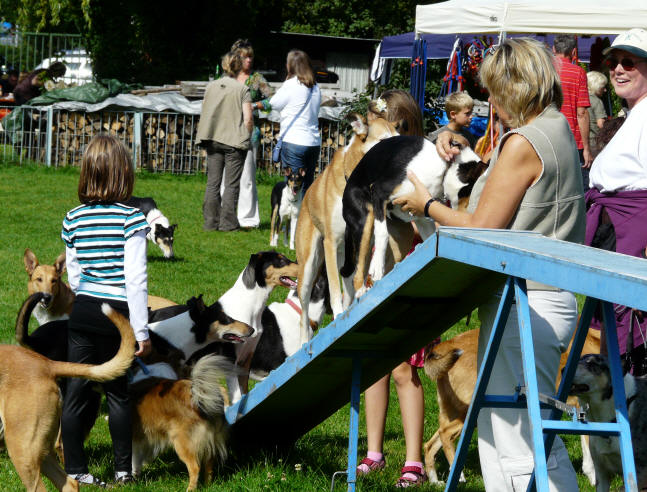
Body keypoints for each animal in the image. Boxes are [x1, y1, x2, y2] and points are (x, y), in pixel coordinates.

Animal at [131, 354, 231, 491]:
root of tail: (200, 397)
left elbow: (133, 458)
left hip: (182, 443)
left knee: (195, 467)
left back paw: (190, 489)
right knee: (209, 464)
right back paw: (208, 485)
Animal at [296, 114, 398, 346]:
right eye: (383, 140)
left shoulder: (364, 239)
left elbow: (359, 275)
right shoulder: (331, 243)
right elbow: (334, 289)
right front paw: (338, 313)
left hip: (346, 255)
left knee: (348, 283)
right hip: (309, 265)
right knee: (304, 308)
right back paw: (304, 340)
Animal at [341, 137, 488, 299]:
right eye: (477, 193)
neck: (444, 168)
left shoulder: (422, 218)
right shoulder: (379, 192)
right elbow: (382, 234)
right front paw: (377, 266)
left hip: (403, 239)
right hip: (365, 222)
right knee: (356, 270)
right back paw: (361, 290)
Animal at [423, 327, 601, 485]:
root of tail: (447, 344)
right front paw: (593, 479)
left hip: (453, 412)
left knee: (430, 444)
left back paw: (435, 481)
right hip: (471, 411)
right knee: (445, 434)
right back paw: (459, 476)